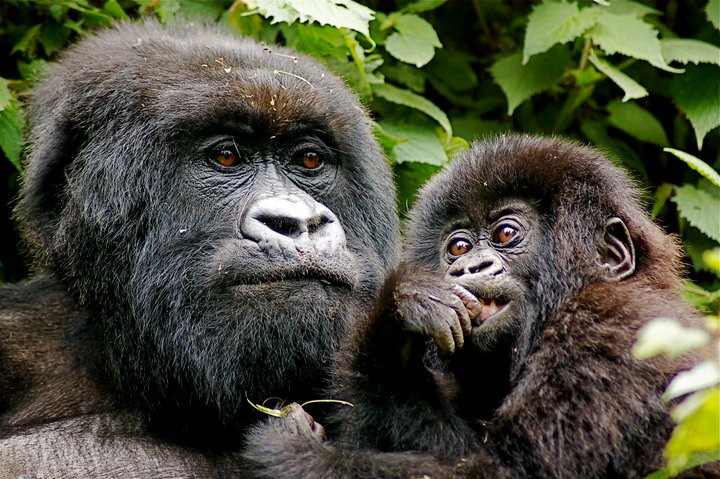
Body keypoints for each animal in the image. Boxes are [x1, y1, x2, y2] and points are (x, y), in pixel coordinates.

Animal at [243, 134, 716, 479]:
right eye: (458, 246)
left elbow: (501, 471)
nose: (469, 267)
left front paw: (289, 447)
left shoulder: (608, 334)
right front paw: (401, 317)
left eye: (506, 234)